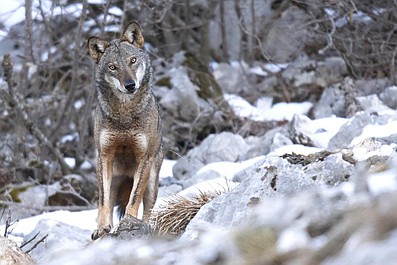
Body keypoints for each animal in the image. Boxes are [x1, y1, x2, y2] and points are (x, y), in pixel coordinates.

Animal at [86, 20, 162, 239]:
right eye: (113, 67)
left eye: (133, 61)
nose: (130, 85)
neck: (124, 116)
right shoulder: (104, 156)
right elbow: (103, 202)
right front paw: (102, 227)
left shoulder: (144, 159)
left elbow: (134, 198)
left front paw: (128, 222)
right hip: (111, 176)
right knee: (106, 201)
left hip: (152, 181)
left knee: (148, 210)